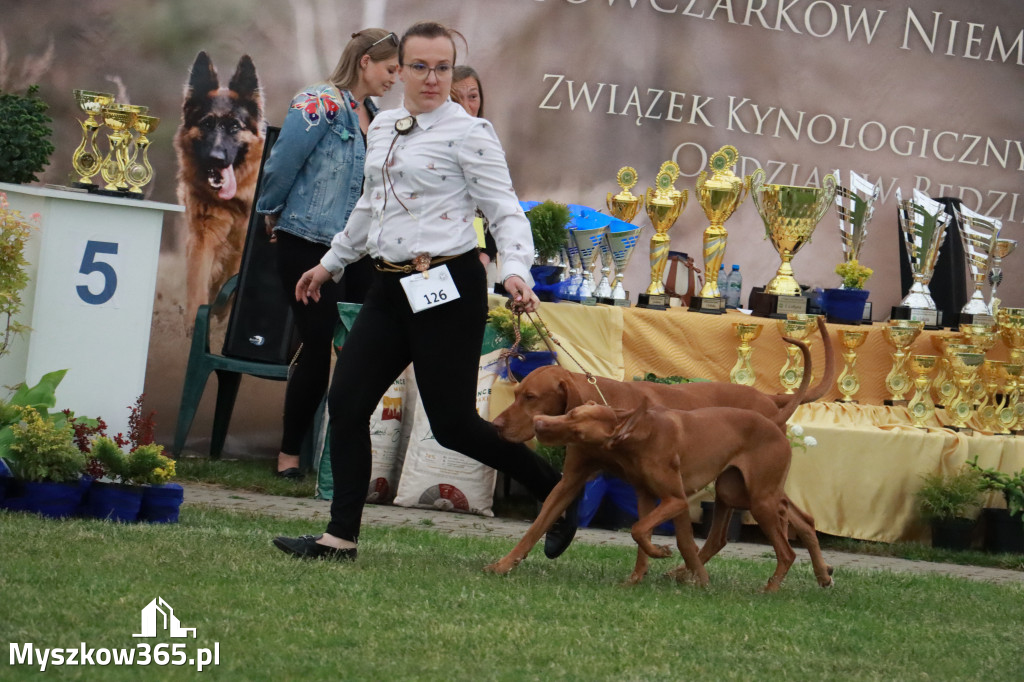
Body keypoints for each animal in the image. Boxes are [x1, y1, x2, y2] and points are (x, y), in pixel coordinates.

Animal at [175, 50, 264, 331]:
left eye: (234, 127)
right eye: (206, 124)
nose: (216, 159)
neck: (232, 201)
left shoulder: (242, 243)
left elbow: (230, 279)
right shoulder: (202, 237)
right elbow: (198, 284)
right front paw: (194, 324)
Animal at [485, 333, 831, 589]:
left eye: (530, 397)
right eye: (515, 393)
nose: (496, 426)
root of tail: (773, 401)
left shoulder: (673, 492)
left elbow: (674, 538)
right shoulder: (573, 481)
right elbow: (537, 526)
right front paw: (504, 564)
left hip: (749, 489)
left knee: (758, 528)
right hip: (738, 488)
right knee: (794, 521)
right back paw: (821, 573)